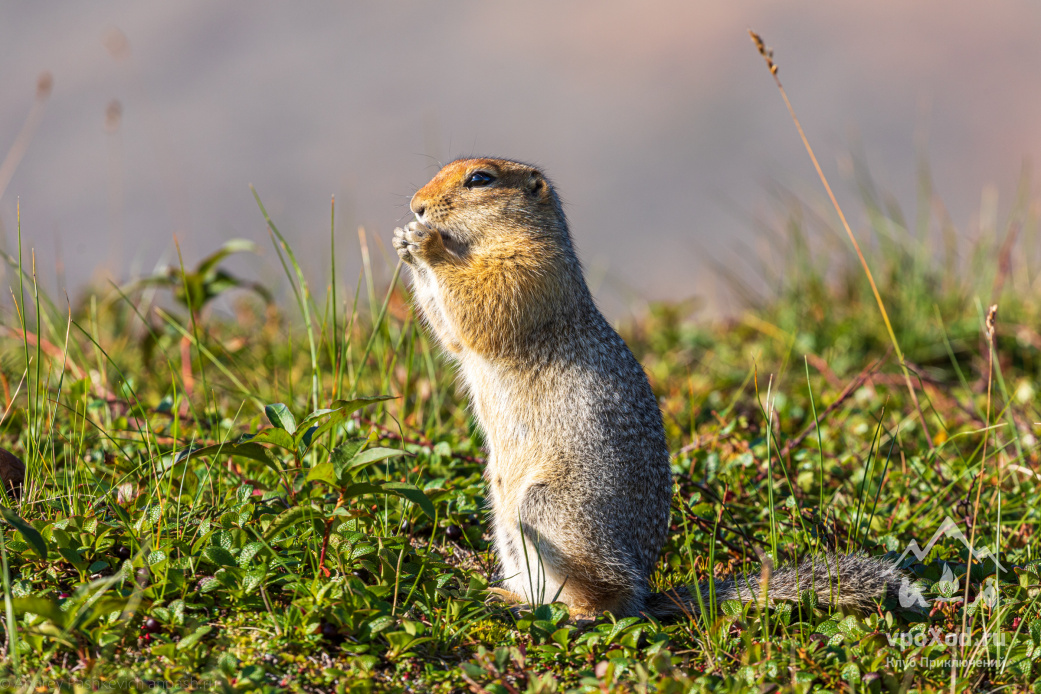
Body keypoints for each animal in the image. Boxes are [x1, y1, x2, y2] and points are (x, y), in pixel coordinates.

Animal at [391, 157, 903, 620]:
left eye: (480, 179)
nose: (416, 205)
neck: (493, 241)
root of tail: (648, 588)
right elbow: (453, 335)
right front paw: (404, 241)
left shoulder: (530, 268)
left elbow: (483, 303)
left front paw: (426, 243)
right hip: (506, 525)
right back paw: (510, 598)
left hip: (548, 510)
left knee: (612, 599)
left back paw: (578, 612)